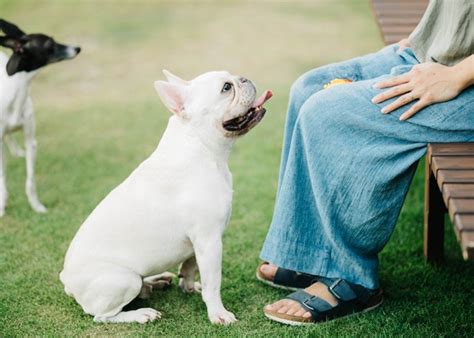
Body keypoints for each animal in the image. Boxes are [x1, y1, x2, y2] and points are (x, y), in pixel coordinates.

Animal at [0, 19, 79, 217]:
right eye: (50, 44)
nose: (77, 48)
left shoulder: (31, 142)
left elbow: (30, 181)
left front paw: (37, 206)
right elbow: (2, 178)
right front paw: (2, 206)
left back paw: (16, 151)